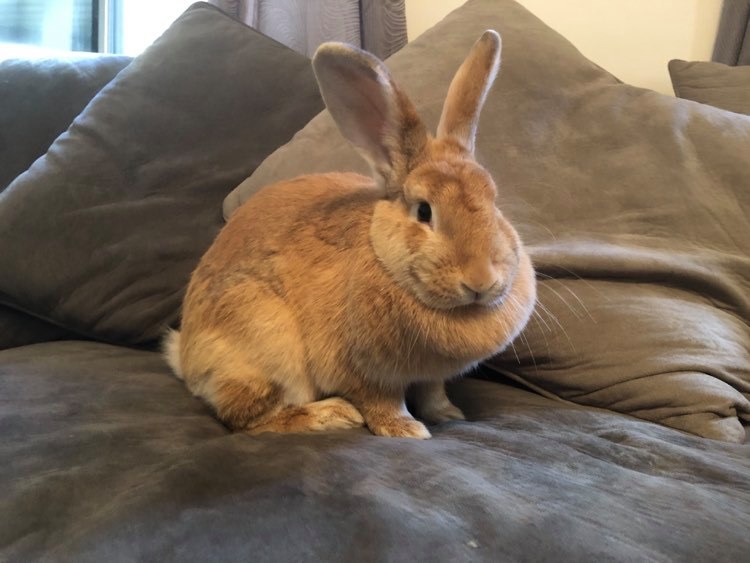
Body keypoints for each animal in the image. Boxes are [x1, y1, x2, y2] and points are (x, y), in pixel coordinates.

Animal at [164, 30, 537, 439]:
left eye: (493, 200)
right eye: (424, 211)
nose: (481, 281)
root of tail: (185, 356)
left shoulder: (429, 376)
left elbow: (432, 391)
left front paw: (448, 415)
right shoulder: (365, 374)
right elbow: (382, 402)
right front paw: (407, 429)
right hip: (265, 340)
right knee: (245, 417)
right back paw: (332, 415)